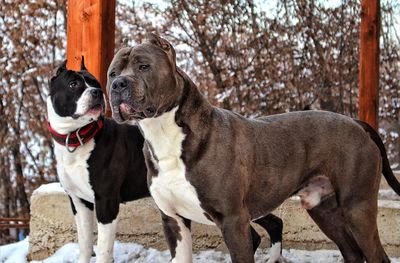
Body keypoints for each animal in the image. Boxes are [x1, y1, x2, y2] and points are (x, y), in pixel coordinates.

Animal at [45, 60, 148, 263]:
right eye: (73, 84)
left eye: (96, 84)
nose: (97, 92)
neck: (76, 138)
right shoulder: (79, 202)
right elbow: (85, 243)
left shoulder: (106, 202)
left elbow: (103, 250)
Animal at [106, 33, 400, 263]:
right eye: (112, 73)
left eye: (144, 66)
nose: (118, 84)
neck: (164, 133)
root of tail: (356, 122)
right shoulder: (173, 222)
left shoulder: (233, 221)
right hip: (324, 209)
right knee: (352, 253)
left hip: (357, 208)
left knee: (377, 255)